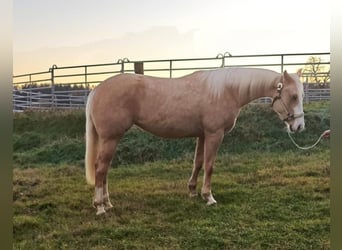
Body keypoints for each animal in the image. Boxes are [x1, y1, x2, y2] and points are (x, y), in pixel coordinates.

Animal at [85, 67, 304, 215]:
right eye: (293, 96)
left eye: (301, 95)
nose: (299, 126)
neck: (227, 90)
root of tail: (96, 90)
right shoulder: (215, 134)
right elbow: (209, 165)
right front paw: (209, 197)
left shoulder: (202, 134)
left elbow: (197, 163)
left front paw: (192, 191)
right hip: (111, 138)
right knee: (101, 169)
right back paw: (100, 207)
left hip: (110, 139)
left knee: (104, 169)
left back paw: (107, 203)